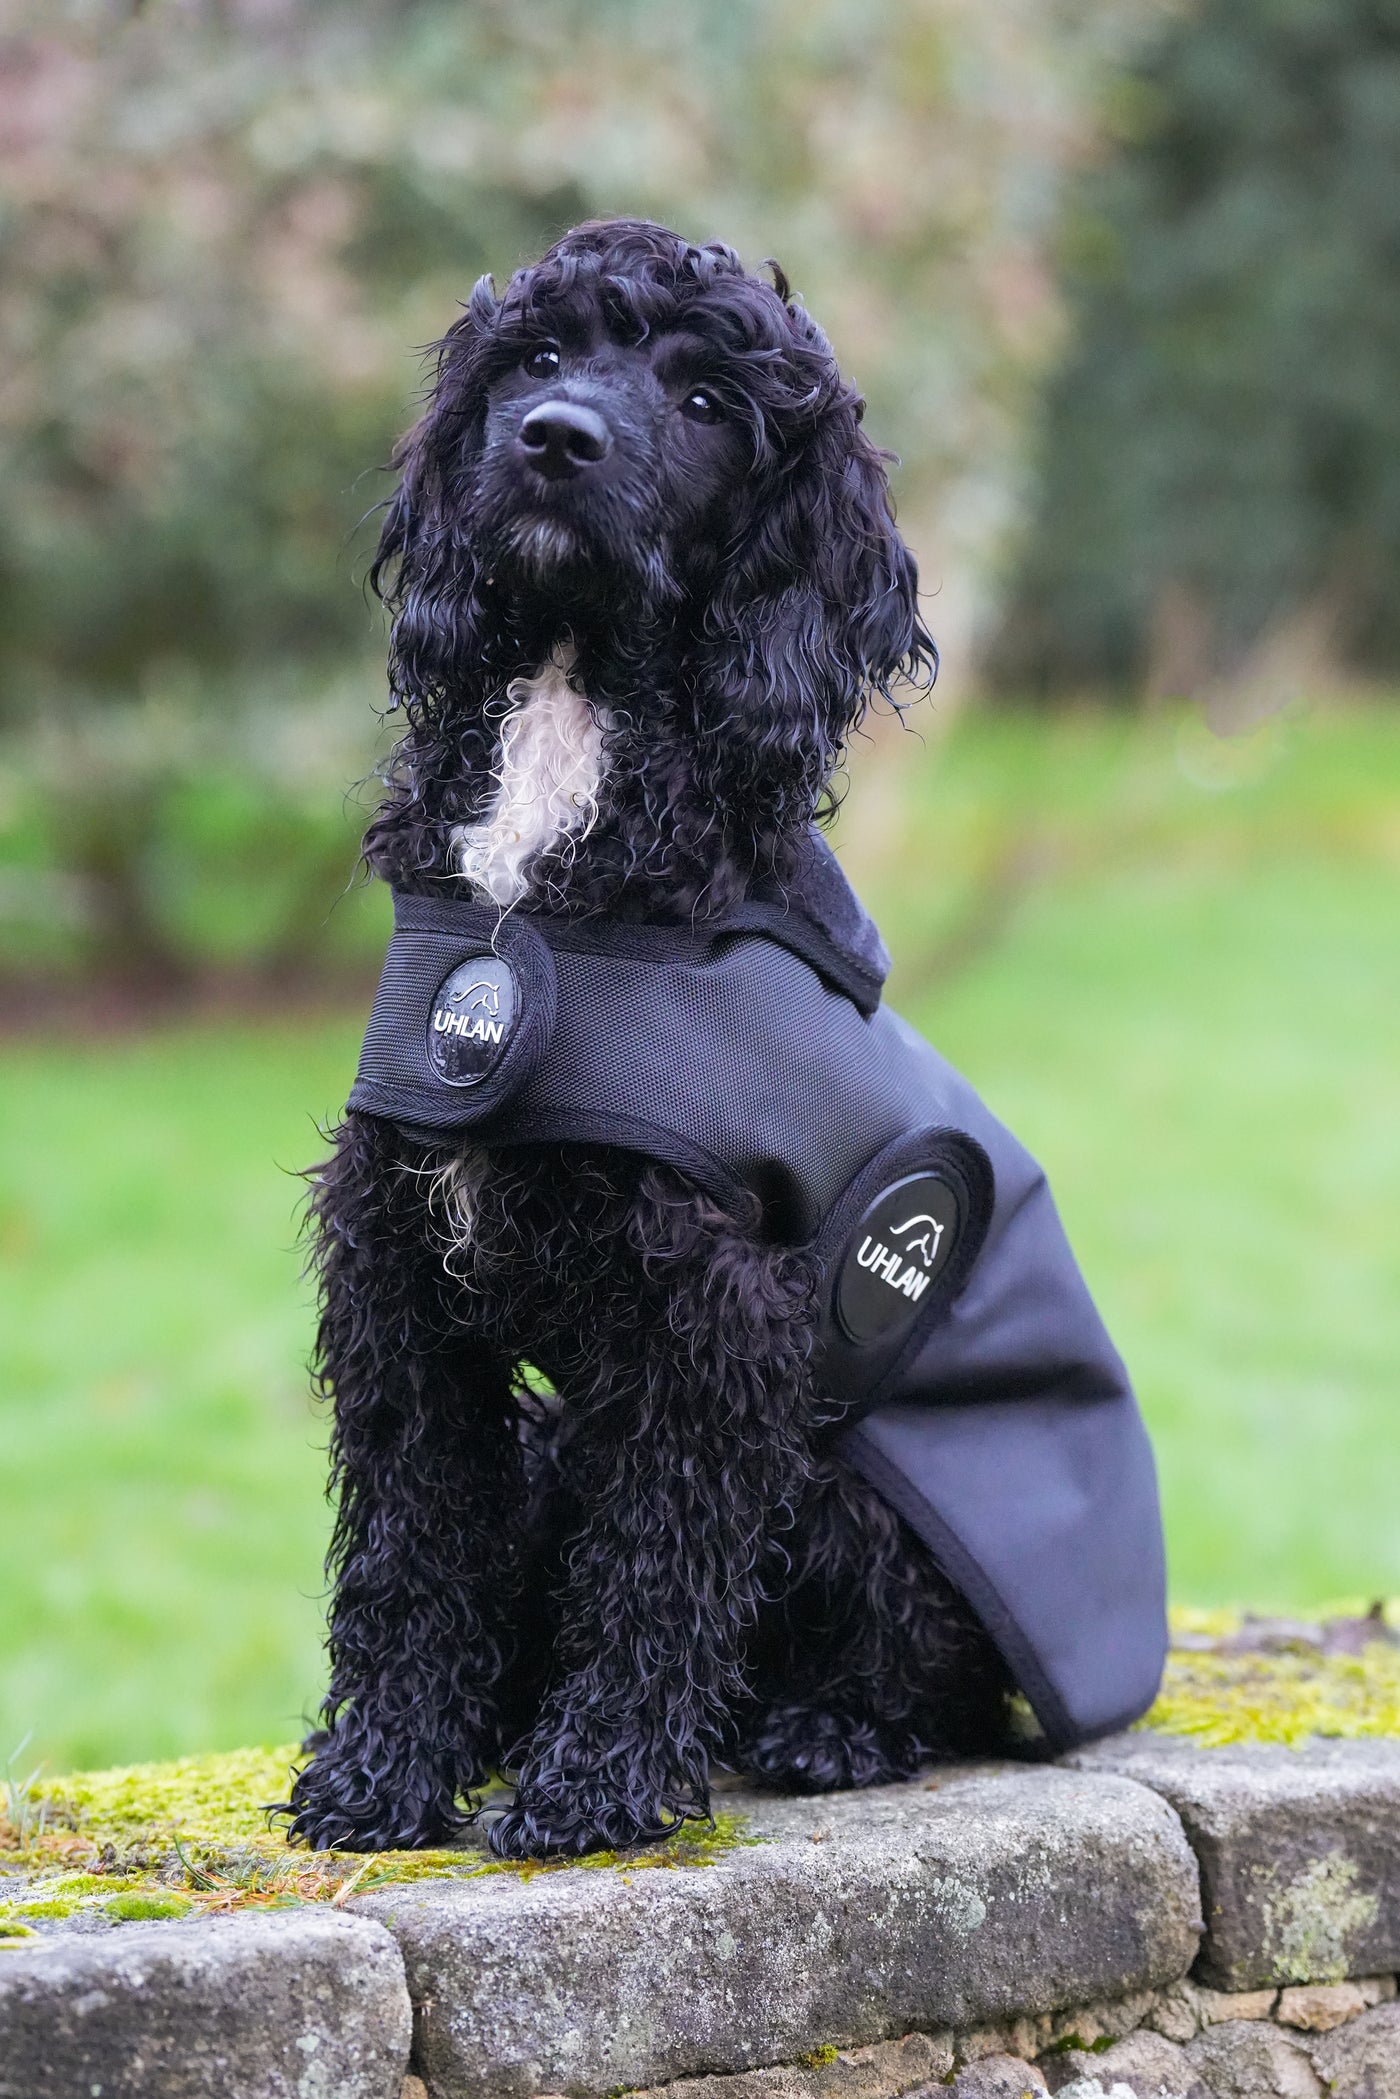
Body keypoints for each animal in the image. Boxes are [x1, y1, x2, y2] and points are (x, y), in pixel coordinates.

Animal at [285, 221, 1011, 1863]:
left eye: (704, 401)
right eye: (540, 359)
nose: (556, 441)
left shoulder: (717, 1309)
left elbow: (661, 1556)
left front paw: (594, 1782)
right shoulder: (399, 1263)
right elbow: (413, 1541)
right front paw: (386, 1764)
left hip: (859, 1484)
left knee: (922, 1664)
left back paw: (827, 1728)